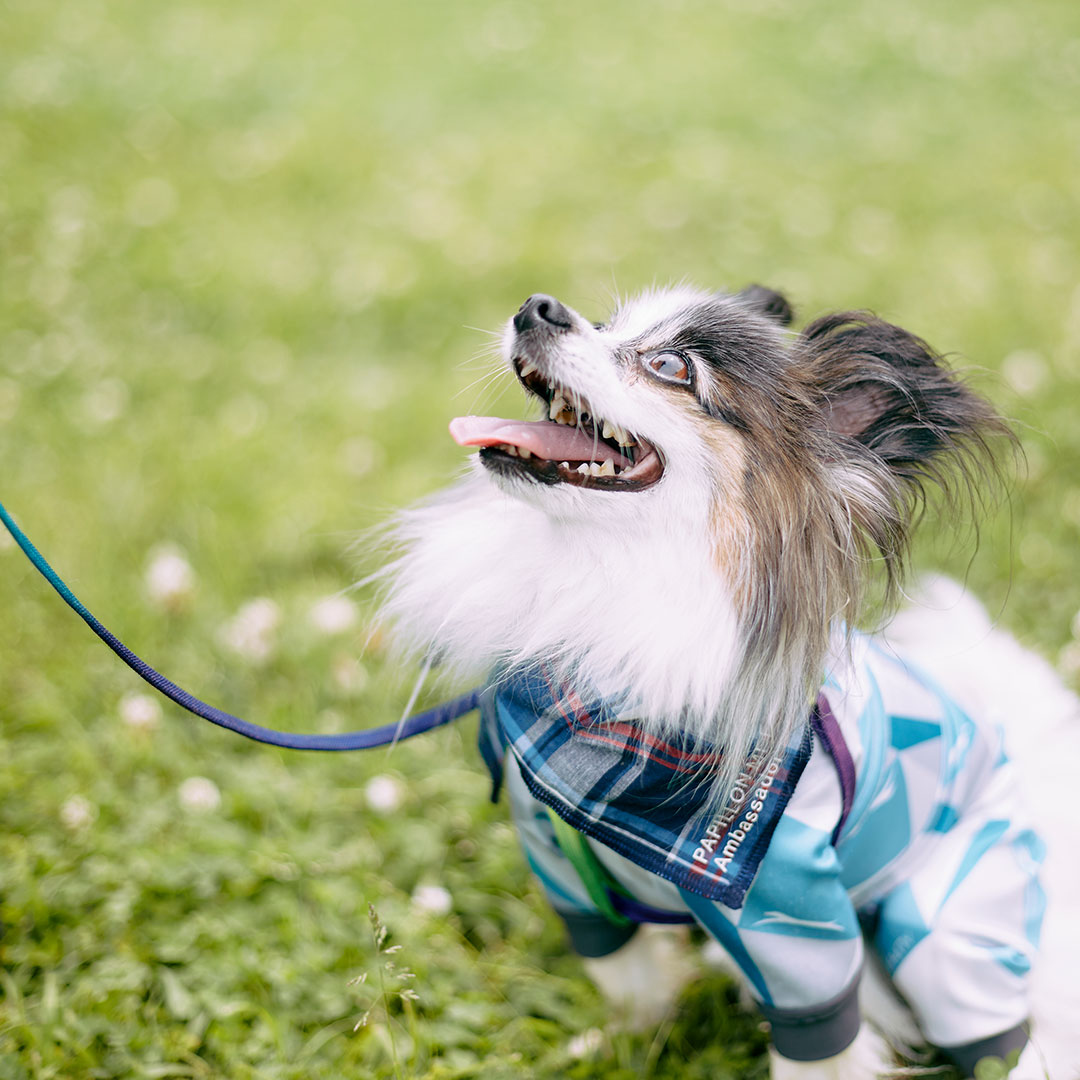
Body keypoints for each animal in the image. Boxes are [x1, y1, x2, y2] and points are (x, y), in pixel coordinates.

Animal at [378, 287, 1080, 1080]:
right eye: (609, 322)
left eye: (670, 367)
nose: (538, 306)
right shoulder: (565, 867)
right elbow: (627, 978)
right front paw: (622, 1046)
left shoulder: (788, 910)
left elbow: (817, 1046)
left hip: (947, 920)